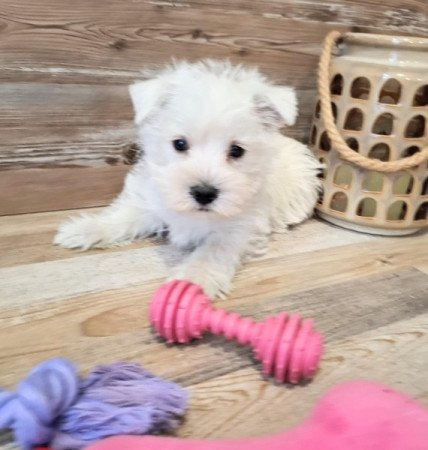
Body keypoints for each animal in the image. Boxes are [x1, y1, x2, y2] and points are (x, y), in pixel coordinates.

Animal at [54, 59, 320, 298]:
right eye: (179, 144)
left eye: (237, 151)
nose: (204, 193)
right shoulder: (151, 202)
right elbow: (123, 216)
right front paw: (83, 229)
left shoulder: (238, 228)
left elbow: (213, 251)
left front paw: (192, 282)